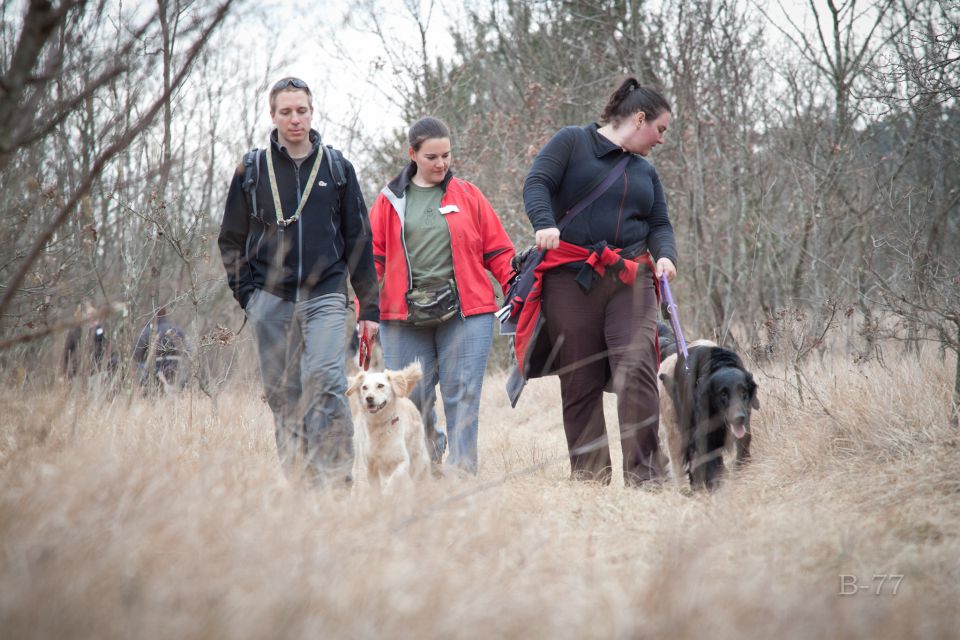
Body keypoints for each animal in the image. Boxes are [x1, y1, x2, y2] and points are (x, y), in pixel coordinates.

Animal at [346, 362, 430, 492]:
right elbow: (376, 489)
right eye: (364, 387)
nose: (369, 398)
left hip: (416, 456)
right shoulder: (370, 466)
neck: (379, 424)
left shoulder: (402, 461)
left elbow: (393, 481)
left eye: (380, 385)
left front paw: (388, 493)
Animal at [660, 344, 756, 490]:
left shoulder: (744, 428)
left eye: (743, 391)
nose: (739, 417)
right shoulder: (704, 438)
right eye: (723, 394)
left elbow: (742, 447)